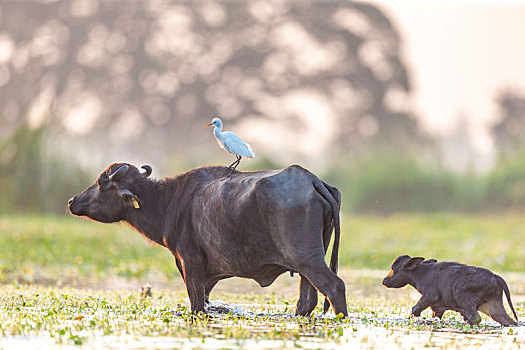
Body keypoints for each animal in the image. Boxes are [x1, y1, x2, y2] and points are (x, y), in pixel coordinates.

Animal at [69, 163, 348, 316]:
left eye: (101, 183)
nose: (72, 201)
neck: (170, 201)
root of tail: (312, 180)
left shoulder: (190, 264)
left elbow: (196, 306)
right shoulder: (208, 276)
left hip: (308, 260)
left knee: (335, 287)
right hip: (306, 266)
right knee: (306, 301)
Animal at [380, 254, 516, 326]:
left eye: (394, 268)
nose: (385, 280)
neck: (420, 274)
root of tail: (496, 277)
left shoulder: (430, 296)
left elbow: (415, 309)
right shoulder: (438, 307)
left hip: (466, 301)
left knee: (474, 318)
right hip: (494, 306)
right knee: (510, 321)